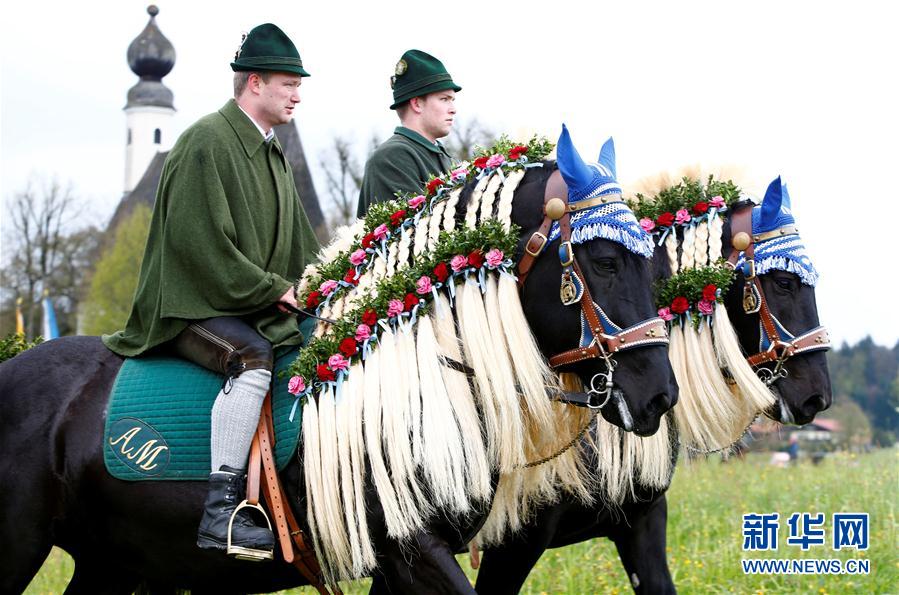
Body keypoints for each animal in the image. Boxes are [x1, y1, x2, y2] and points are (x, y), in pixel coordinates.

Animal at [0, 159, 676, 595]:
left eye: (658, 264)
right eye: (605, 261)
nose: (658, 395)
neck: (419, 369)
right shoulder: (415, 552)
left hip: (112, 562)